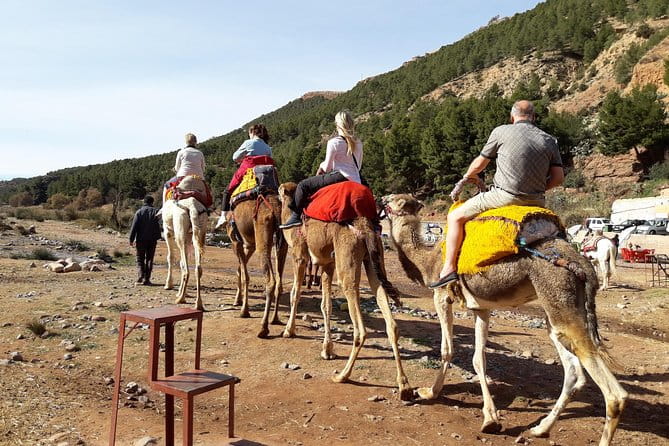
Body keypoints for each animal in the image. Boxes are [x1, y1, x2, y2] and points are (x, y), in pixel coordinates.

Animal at [162, 177, 209, 310]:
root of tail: (193, 208)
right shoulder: (188, 236)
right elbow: (182, 262)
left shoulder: (168, 231)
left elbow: (171, 257)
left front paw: (169, 285)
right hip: (200, 232)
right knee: (198, 268)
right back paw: (198, 304)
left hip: (179, 232)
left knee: (186, 268)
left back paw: (180, 299)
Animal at [228, 193, 288, 338]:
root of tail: (276, 210)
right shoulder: (250, 245)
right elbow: (240, 269)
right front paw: (238, 300)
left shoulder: (237, 241)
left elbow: (245, 276)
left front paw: (244, 310)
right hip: (282, 242)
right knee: (279, 282)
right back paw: (275, 319)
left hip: (262, 236)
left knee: (271, 281)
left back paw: (263, 328)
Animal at [278, 182, 412, 400]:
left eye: (281, 191)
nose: (277, 192)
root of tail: (364, 227)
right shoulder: (327, 263)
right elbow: (326, 305)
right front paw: (328, 350)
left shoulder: (300, 255)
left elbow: (295, 294)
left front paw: (288, 331)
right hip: (373, 260)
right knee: (391, 323)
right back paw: (405, 386)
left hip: (347, 261)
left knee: (360, 329)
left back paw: (342, 375)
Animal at [381, 194, 627, 446]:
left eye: (395, 201)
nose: (382, 198)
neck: (427, 262)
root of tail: (584, 266)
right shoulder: (481, 308)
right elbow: (479, 359)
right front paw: (491, 419)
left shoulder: (441, 295)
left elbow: (447, 349)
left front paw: (430, 392)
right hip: (559, 312)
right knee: (573, 372)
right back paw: (540, 429)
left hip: (558, 296)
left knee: (614, 394)